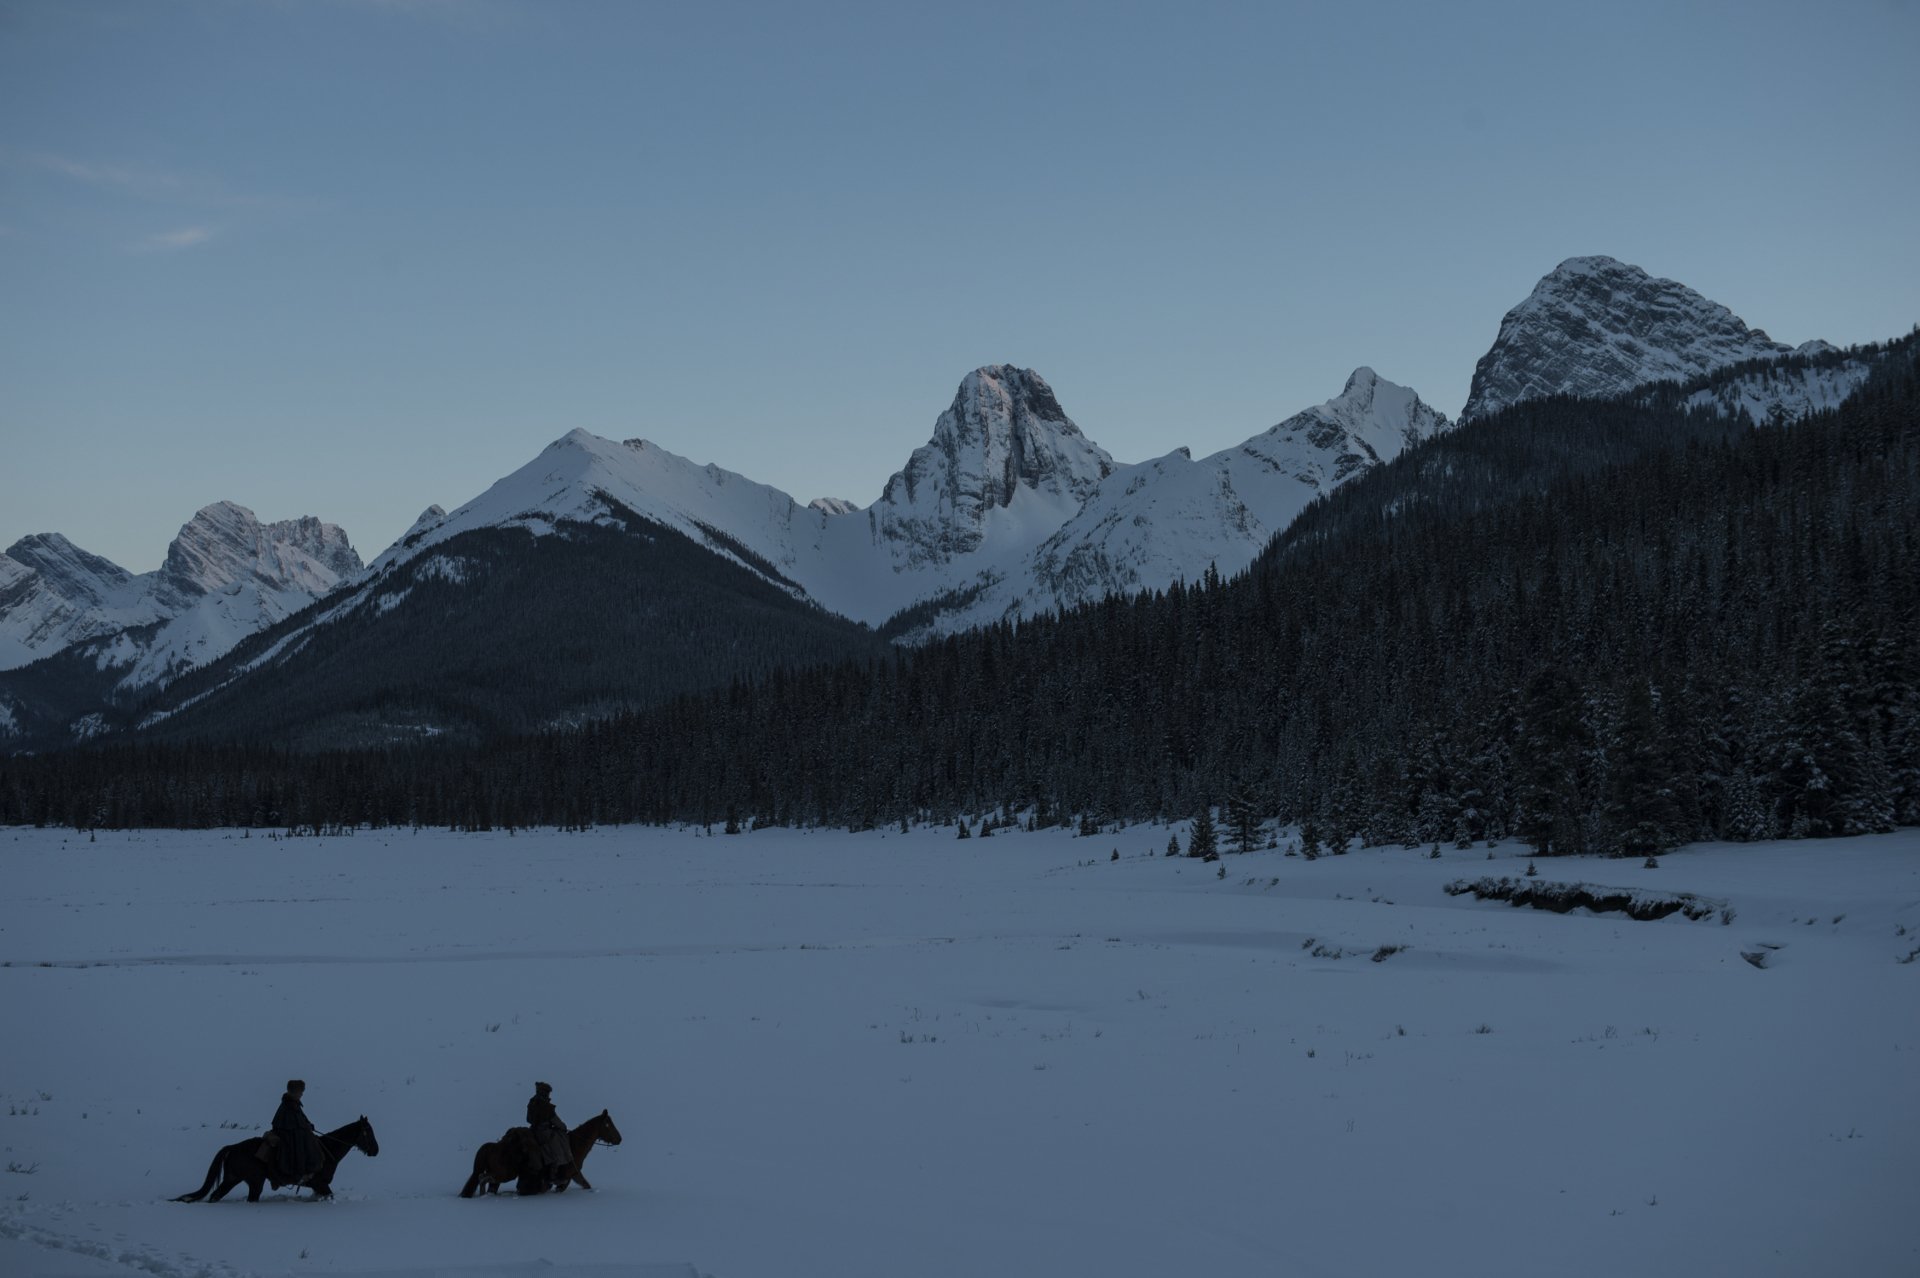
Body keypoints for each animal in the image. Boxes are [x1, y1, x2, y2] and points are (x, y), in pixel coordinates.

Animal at [174, 1112, 380, 1197]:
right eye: (368, 1131)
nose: (376, 1150)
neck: (328, 1150)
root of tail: (232, 1147)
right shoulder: (320, 1184)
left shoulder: (318, 1187)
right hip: (253, 1182)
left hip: (232, 1179)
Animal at [458, 1105, 622, 1197]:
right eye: (608, 1125)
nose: (619, 1139)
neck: (574, 1146)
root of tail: (492, 1146)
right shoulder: (566, 1177)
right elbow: (560, 1187)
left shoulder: (574, 1175)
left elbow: (586, 1184)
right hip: (505, 1174)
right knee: (482, 1178)